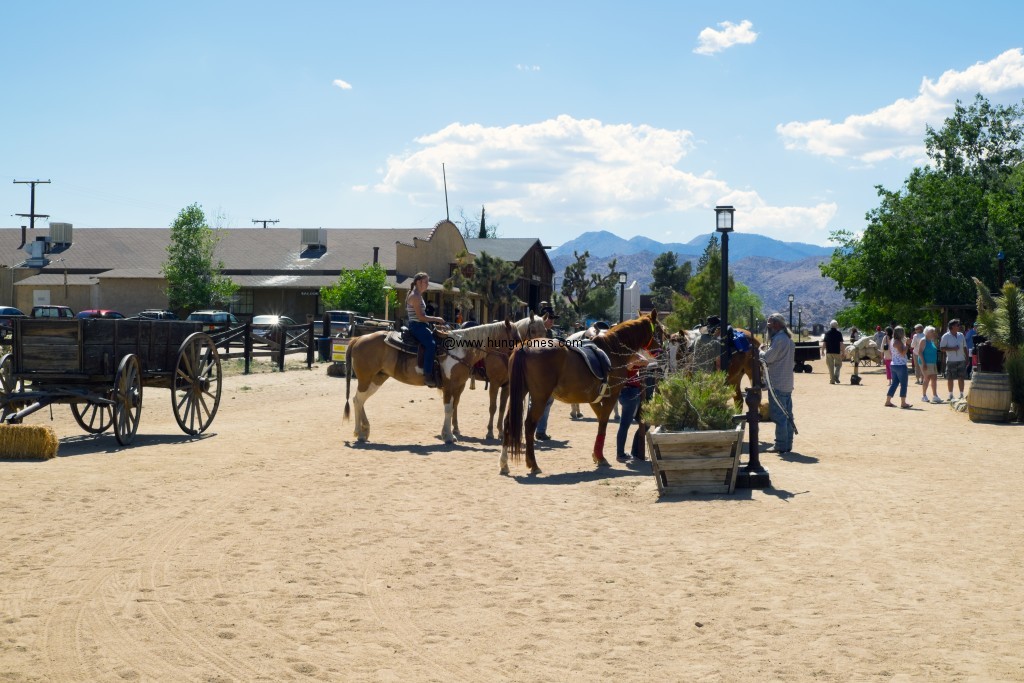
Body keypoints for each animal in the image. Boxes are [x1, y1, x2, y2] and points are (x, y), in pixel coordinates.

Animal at [342, 319, 520, 444]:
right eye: (515, 337)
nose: (518, 355)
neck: (461, 350)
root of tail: (358, 338)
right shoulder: (449, 386)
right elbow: (448, 409)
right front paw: (449, 437)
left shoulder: (458, 385)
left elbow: (452, 408)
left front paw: (448, 433)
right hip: (365, 378)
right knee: (357, 400)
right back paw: (359, 433)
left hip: (377, 378)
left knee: (360, 400)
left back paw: (364, 431)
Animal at [497, 311, 663, 475]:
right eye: (660, 330)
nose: (660, 352)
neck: (612, 349)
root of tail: (525, 347)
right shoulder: (612, 396)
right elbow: (603, 422)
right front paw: (600, 456)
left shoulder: (593, 398)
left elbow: (600, 420)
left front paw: (596, 455)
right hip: (540, 398)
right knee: (529, 425)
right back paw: (533, 464)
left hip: (519, 393)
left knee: (508, 422)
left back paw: (504, 463)